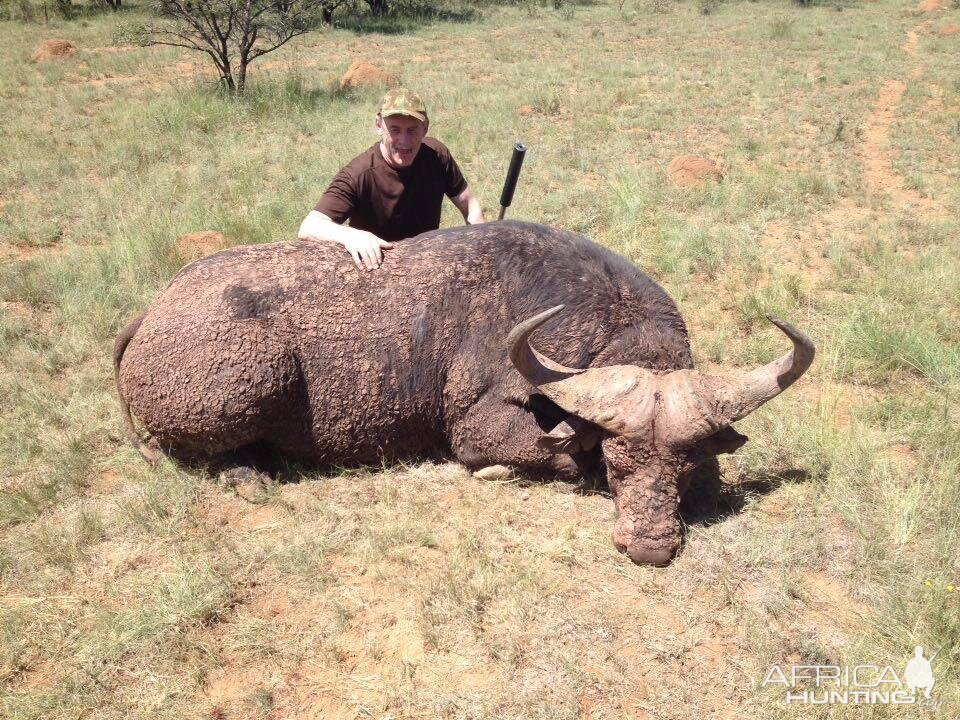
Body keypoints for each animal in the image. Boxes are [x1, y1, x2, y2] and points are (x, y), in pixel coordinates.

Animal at [116, 219, 812, 564]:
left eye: (684, 467)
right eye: (619, 464)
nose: (649, 547)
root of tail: (152, 312)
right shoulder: (477, 430)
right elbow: (555, 455)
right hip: (249, 381)